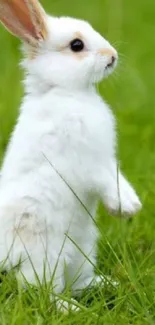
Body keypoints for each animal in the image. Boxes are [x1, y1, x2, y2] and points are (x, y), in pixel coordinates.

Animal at [0, 0, 142, 310]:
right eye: (76, 45)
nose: (112, 56)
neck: (66, 92)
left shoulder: (105, 158)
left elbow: (117, 176)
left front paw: (131, 204)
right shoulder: (87, 163)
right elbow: (105, 181)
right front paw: (125, 208)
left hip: (83, 249)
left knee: (75, 282)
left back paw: (106, 284)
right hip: (45, 254)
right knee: (39, 290)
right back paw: (70, 309)